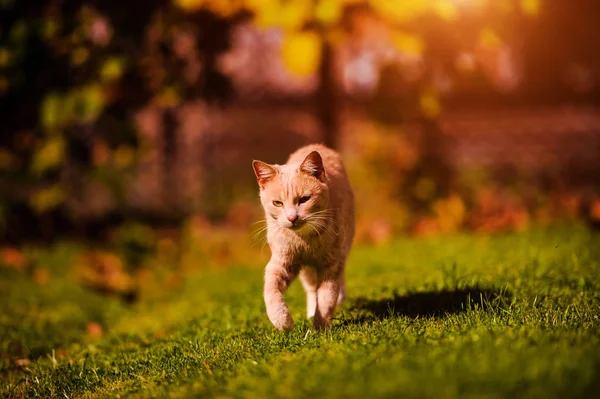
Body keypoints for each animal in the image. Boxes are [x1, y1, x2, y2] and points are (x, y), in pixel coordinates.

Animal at [251, 145, 354, 332]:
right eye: (278, 203)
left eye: (304, 199)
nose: (292, 218)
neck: (305, 240)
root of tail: (317, 145)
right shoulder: (281, 263)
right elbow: (271, 292)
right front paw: (283, 321)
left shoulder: (332, 264)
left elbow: (327, 297)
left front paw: (321, 325)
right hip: (307, 271)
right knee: (311, 288)